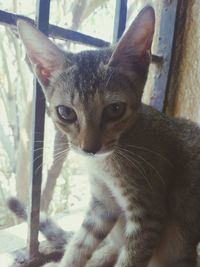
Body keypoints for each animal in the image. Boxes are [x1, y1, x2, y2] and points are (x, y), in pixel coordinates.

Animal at [16, 5, 200, 267]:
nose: (89, 148)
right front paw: (70, 259)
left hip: (179, 245)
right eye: (66, 113)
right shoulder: (102, 205)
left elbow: (130, 259)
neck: (105, 165)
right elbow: (80, 244)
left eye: (115, 109)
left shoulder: (148, 215)